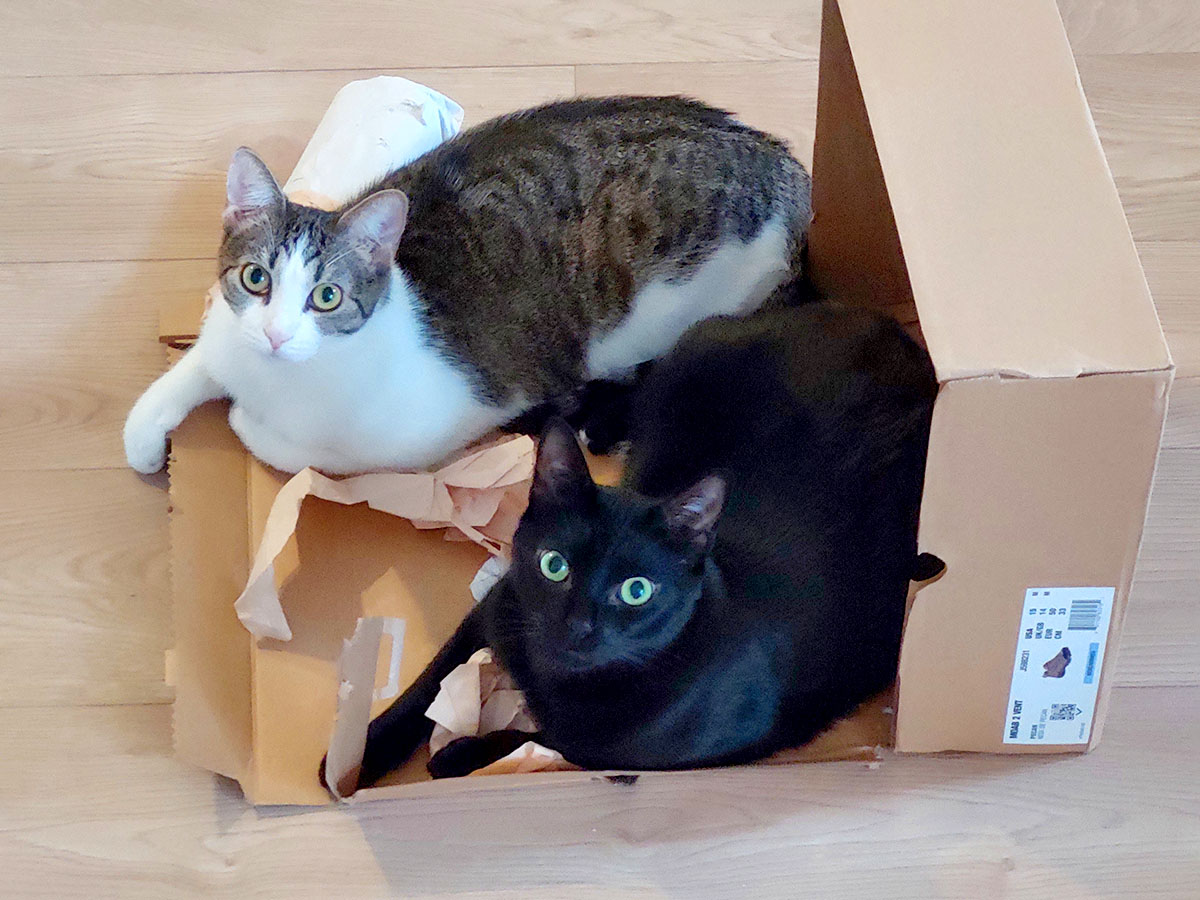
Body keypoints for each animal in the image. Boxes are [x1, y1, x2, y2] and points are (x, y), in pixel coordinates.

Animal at [124, 96, 811, 476]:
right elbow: (189, 371)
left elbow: (302, 451)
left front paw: (245, 422)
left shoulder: (428, 429)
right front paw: (146, 437)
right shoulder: (225, 333)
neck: (276, 379)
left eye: (327, 297)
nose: (274, 334)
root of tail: (783, 163)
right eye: (256, 278)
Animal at [332, 302, 939, 792]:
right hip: (691, 355)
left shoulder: (640, 757)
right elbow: (429, 679)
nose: (578, 625)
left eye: (637, 591)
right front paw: (359, 755)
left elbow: (542, 740)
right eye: (555, 566)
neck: (552, 677)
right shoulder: (498, 604)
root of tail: (892, 331)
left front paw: (456, 755)